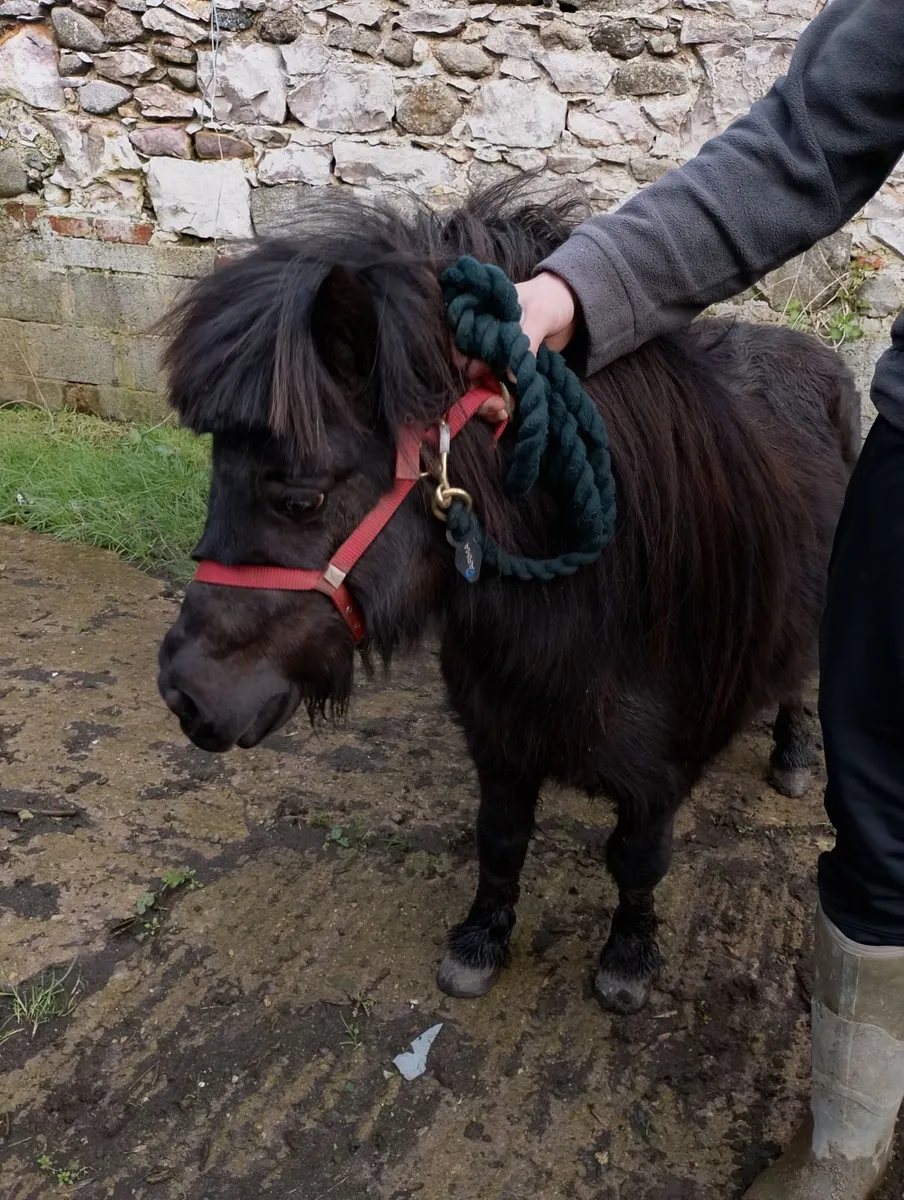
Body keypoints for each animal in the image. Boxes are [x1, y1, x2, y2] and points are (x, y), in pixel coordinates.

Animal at [156, 179, 860, 1015]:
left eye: (300, 497)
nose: (184, 693)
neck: (595, 614)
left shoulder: (661, 777)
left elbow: (638, 862)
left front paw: (628, 957)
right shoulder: (497, 741)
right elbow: (499, 841)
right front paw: (480, 939)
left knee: (799, 682)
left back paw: (793, 752)